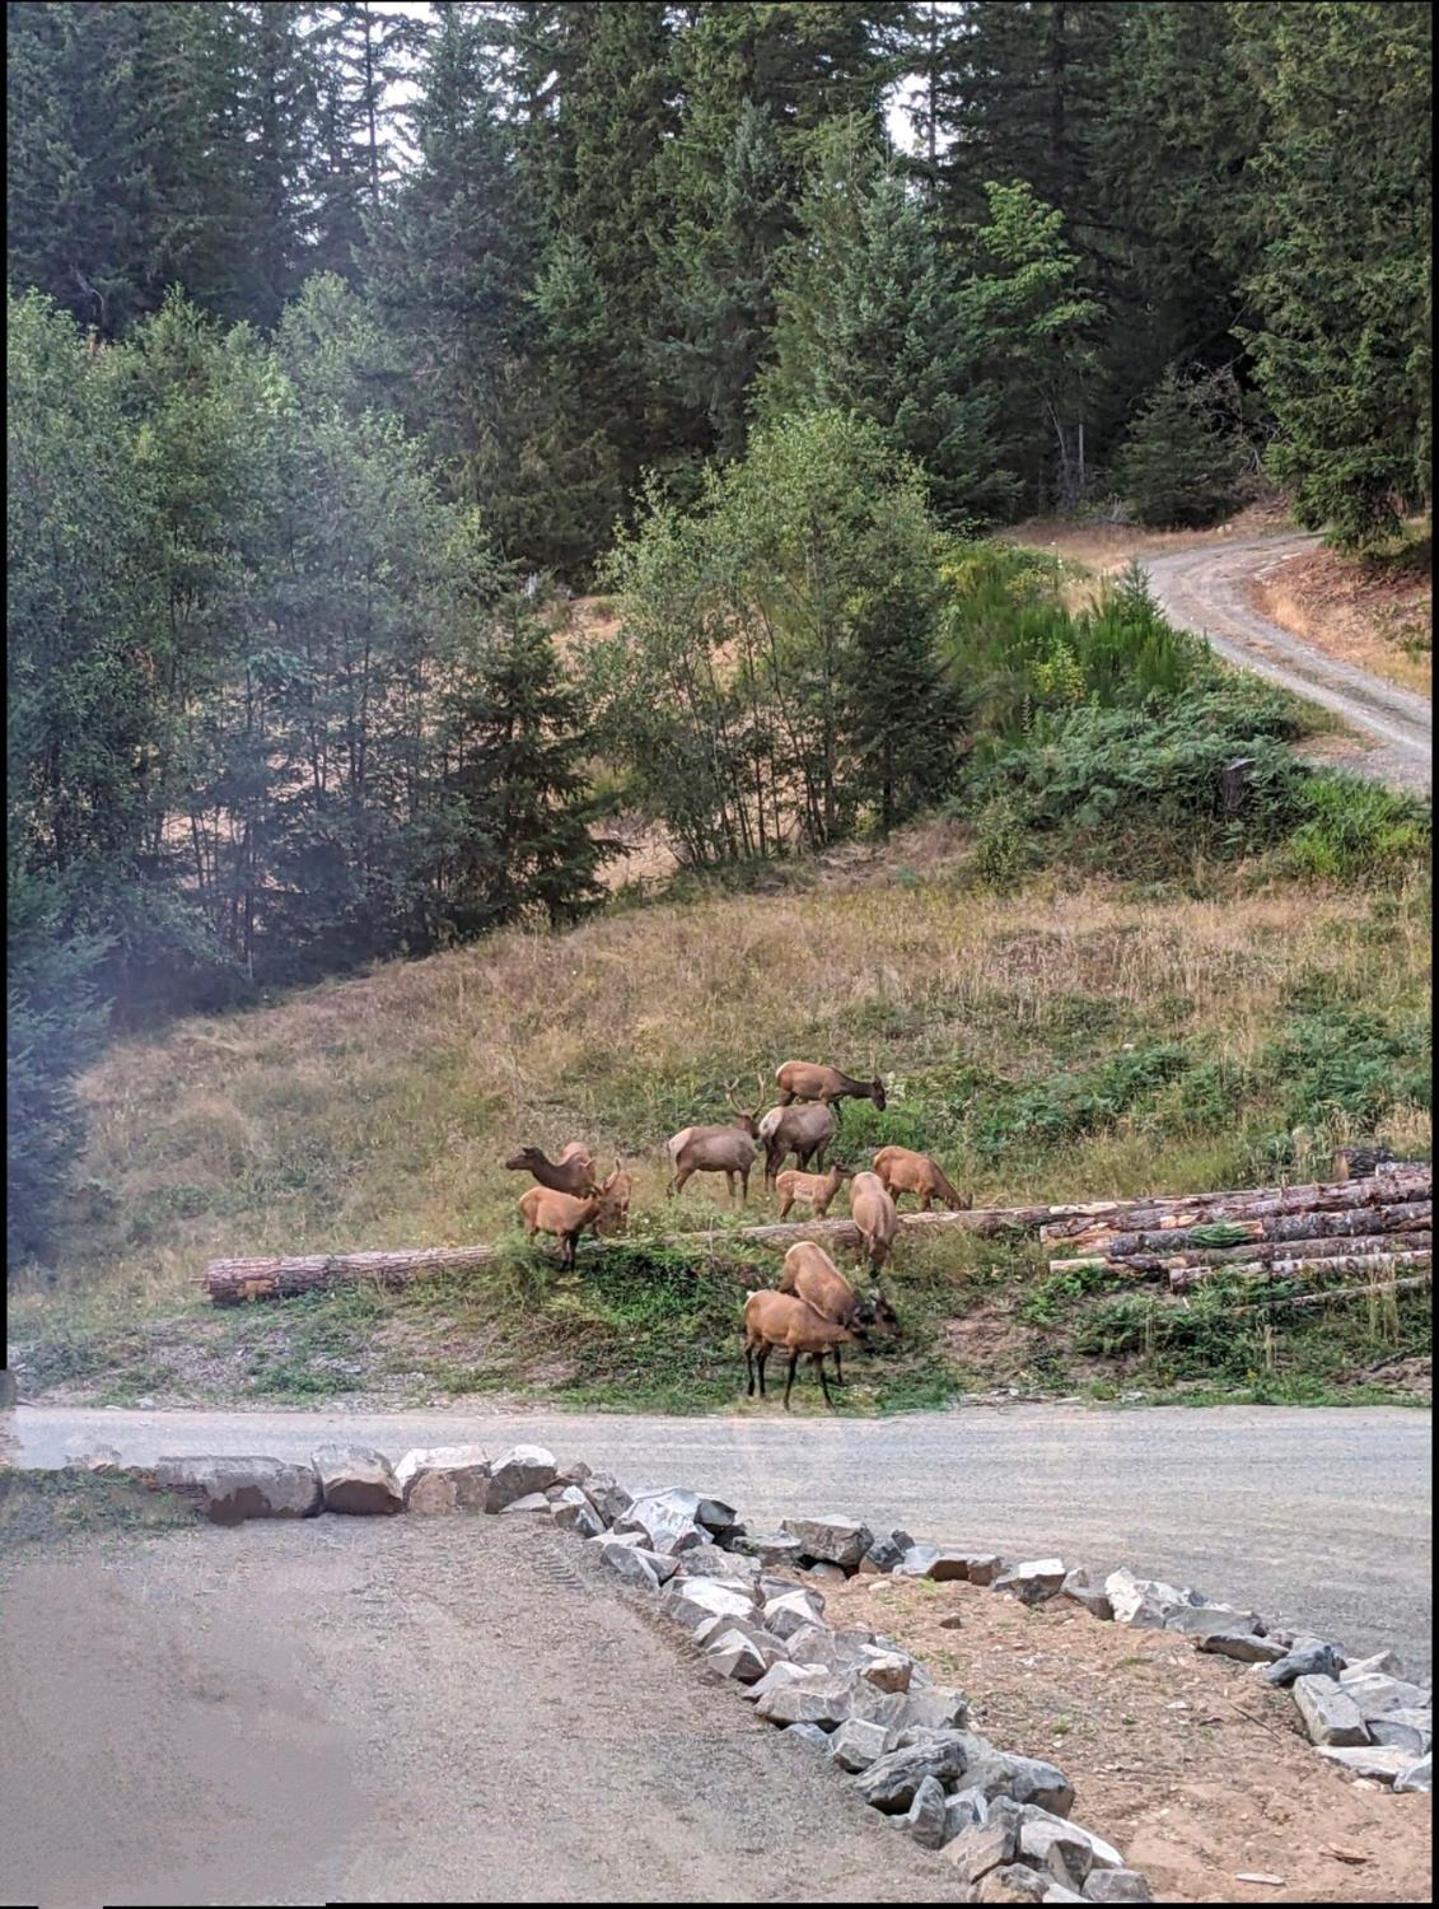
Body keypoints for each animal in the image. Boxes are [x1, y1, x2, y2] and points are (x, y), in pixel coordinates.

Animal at [777, 1240, 898, 1386]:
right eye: (887, 1316)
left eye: (894, 1313)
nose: (899, 1333)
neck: (845, 1310)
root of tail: (792, 1248)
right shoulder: (830, 1317)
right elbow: (836, 1353)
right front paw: (840, 1379)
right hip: (787, 1278)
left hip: (798, 1290)